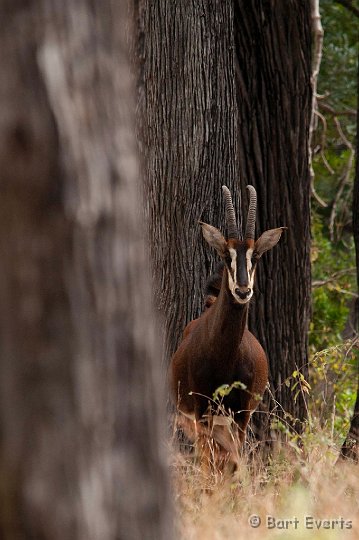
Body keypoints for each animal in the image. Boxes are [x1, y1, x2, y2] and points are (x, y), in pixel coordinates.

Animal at [172, 185, 286, 468]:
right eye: (227, 256)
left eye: (255, 256)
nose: (243, 291)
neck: (224, 355)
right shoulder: (201, 409)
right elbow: (208, 462)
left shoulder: (242, 413)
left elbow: (234, 461)